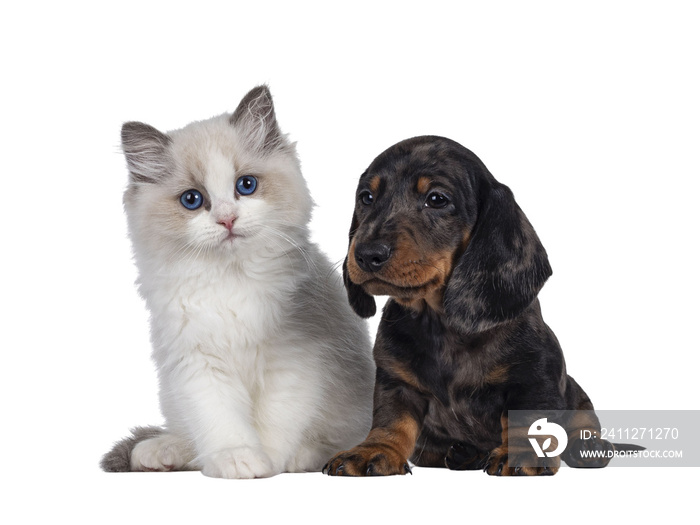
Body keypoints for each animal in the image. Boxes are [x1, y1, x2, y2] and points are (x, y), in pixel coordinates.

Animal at [101, 87, 374, 478]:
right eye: (192, 199)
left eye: (246, 186)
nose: (227, 219)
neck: (232, 281)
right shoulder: (199, 364)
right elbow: (221, 423)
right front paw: (237, 459)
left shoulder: (294, 360)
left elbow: (273, 423)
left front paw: (267, 463)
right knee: (190, 441)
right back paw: (161, 451)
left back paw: (304, 457)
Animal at [324, 134, 616, 474]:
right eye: (367, 197)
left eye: (437, 199)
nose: (367, 254)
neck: (440, 322)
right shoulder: (395, 381)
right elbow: (391, 420)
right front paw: (374, 450)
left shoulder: (535, 376)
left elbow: (529, 420)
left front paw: (524, 454)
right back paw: (465, 454)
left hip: (576, 391)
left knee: (583, 420)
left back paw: (589, 447)